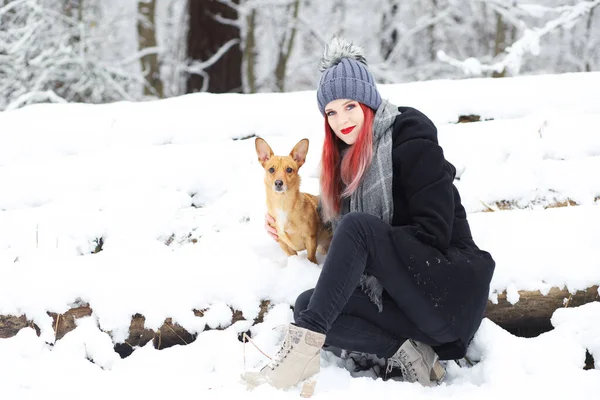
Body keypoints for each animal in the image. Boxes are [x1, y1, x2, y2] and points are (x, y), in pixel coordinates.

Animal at [254, 138, 332, 266]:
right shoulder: (282, 243)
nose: (278, 183)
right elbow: (292, 255)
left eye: (289, 169)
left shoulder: (310, 239)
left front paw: (312, 266)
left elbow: (311, 258)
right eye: (271, 169)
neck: (282, 203)